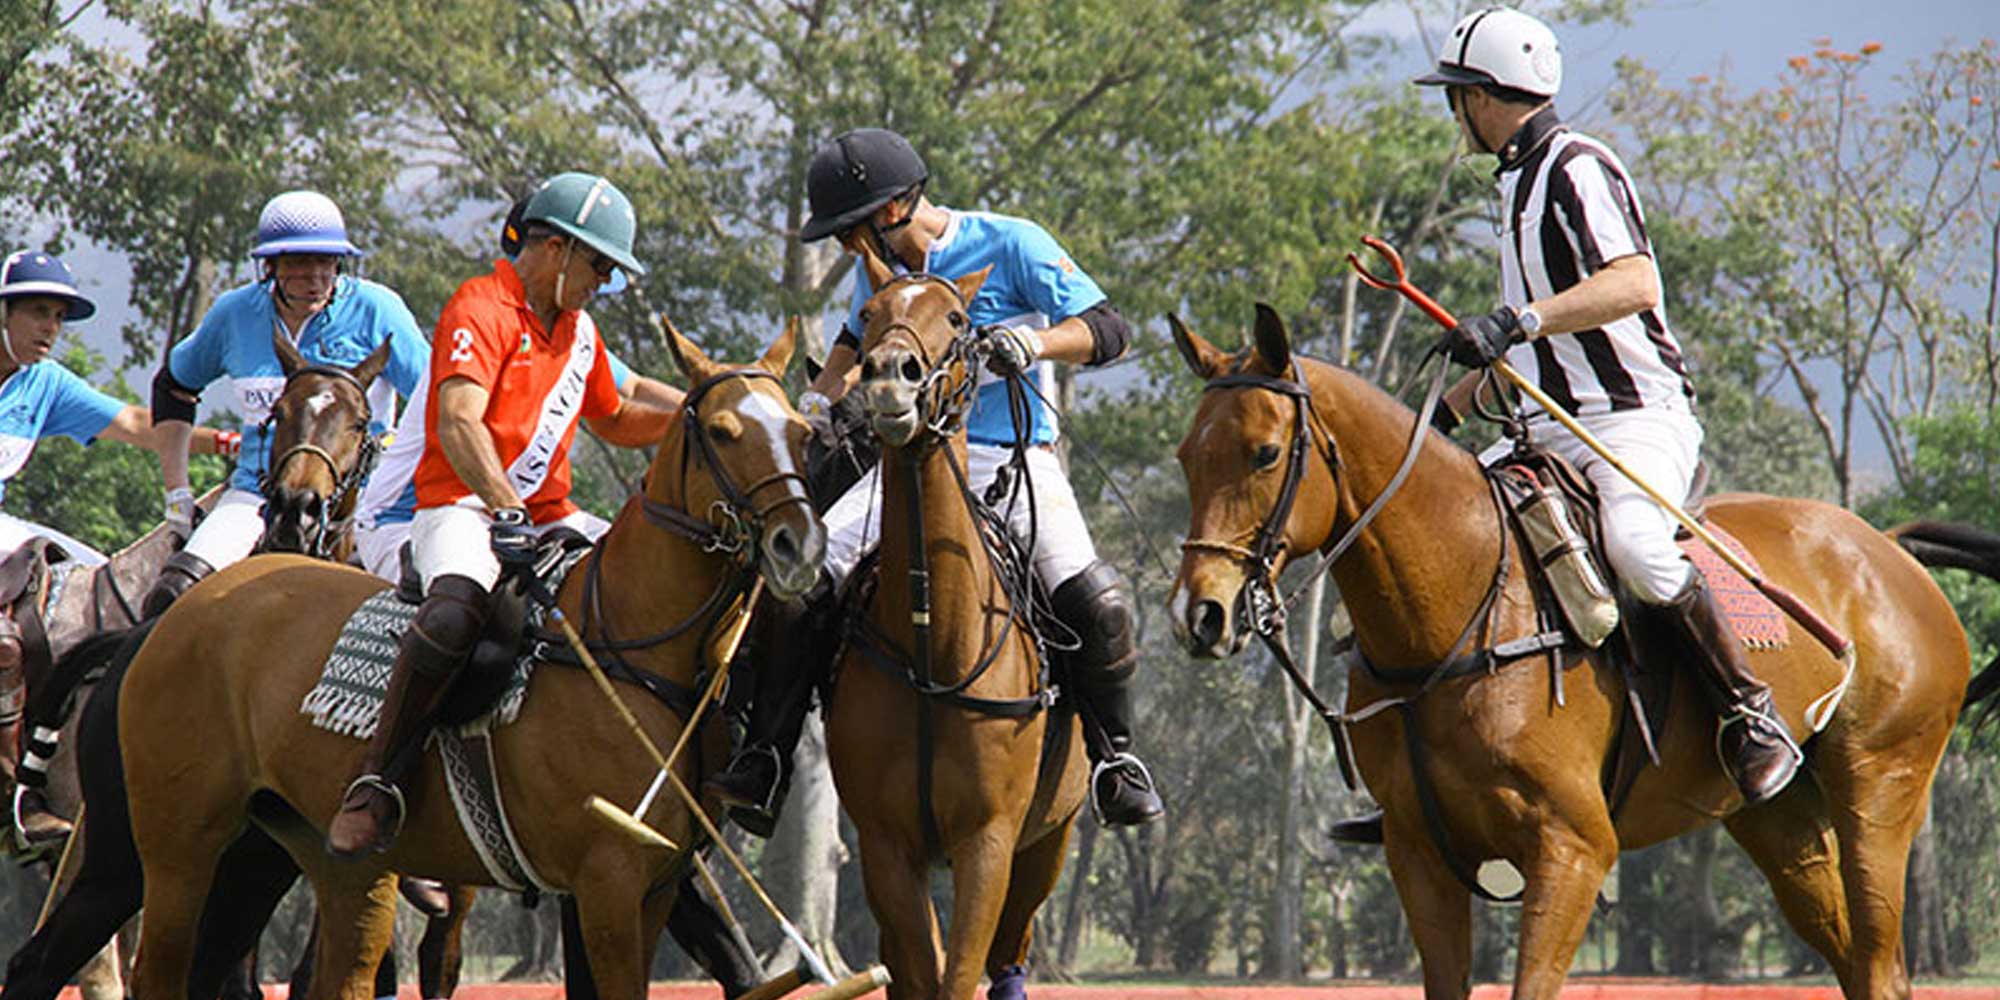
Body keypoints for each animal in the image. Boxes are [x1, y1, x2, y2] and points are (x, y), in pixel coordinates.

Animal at [115, 326, 820, 1000]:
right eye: (724, 432)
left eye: (803, 432)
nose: (800, 545)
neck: (631, 647)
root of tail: (184, 611)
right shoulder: (608, 879)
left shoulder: (657, 884)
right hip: (180, 842)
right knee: (161, 968)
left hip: (313, 853)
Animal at [820, 256, 1088, 1000]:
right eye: (868, 313)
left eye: (959, 318)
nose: (890, 376)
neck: (934, 646)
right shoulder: (886, 844)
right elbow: (921, 970)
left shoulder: (989, 840)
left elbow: (960, 972)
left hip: (1050, 840)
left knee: (1009, 955)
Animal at [1168, 306, 1968, 1000]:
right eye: (1185, 455)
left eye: (1266, 453)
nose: (1199, 615)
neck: (1457, 618)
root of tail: (1891, 551)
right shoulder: (1417, 853)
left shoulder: (1573, 848)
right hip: (1777, 819)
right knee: (1860, 960)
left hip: (1879, 786)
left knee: (1877, 959)